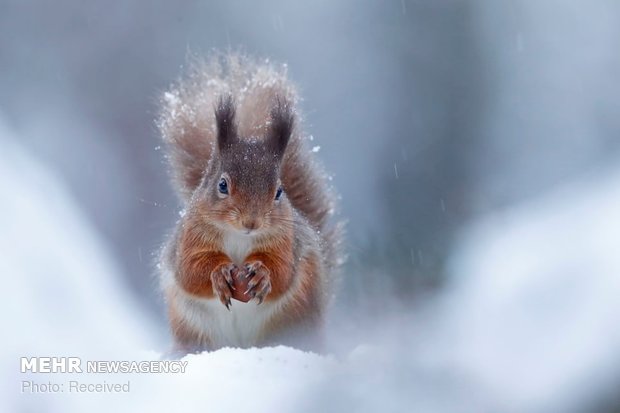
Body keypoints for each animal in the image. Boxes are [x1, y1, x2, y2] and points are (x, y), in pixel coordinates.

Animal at [155, 53, 340, 350]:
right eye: (222, 185)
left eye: (279, 192)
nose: (251, 222)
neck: (239, 238)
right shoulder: (189, 240)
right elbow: (190, 271)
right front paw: (218, 273)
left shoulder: (287, 243)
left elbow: (282, 272)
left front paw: (263, 275)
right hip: (195, 330)